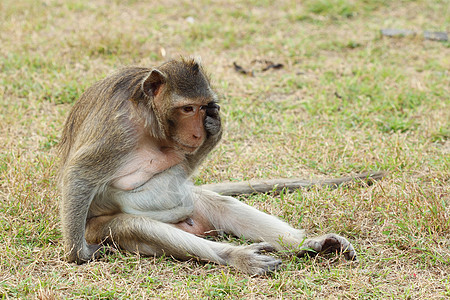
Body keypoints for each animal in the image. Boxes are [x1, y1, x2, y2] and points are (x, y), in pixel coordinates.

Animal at [57, 57, 384, 276]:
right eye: (187, 108)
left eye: (204, 107)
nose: (198, 132)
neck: (147, 113)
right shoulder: (118, 129)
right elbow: (80, 174)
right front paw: (78, 255)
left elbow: (183, 168)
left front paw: (215, 130)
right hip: (98, 228)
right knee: (135, 226)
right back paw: (235, 257)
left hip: (195, 207)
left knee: (223, 206)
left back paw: (310, 244)